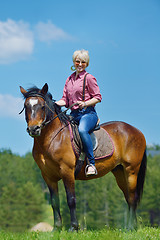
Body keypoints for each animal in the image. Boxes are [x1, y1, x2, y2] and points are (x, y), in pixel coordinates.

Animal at [19, 83, 146, 231]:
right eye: (26, 106)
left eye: (42, 106)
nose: (34, 129)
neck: (52, 139)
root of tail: (137, 131)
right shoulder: (48, 176)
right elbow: (55, 202)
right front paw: (57, 228)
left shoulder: (67, 171)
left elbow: (71, 200)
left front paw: (74, 227)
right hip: (119, 172)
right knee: (128, 197)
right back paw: (131, 227)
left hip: (131, 170)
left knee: (132, 197)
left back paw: (131, 227)